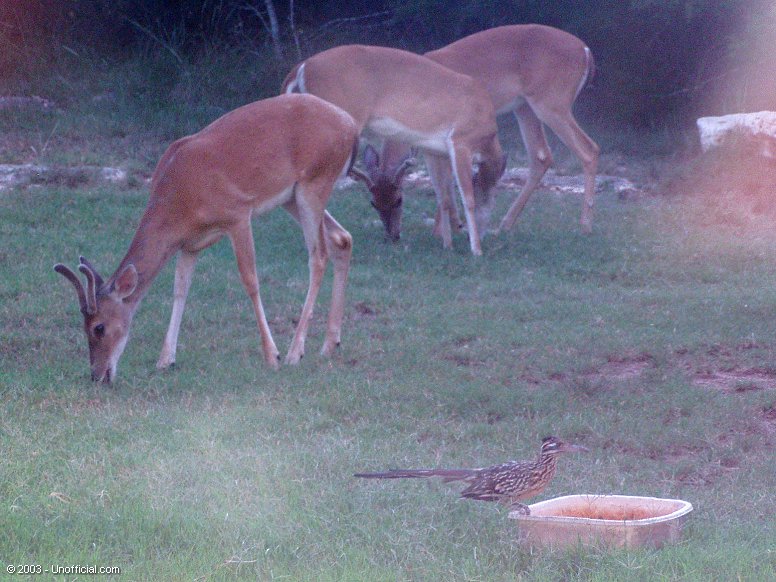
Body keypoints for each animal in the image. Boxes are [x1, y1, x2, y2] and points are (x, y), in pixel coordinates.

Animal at [54, 94, 359, 383]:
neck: (179, 200)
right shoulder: (190, 243)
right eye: (83, 326)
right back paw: (329, 344)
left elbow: (250, 280)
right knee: (342, 238)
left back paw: (296, 352)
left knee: (318, 256)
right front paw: (166, 360)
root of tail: (350, 125)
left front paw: (272, 355)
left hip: (315, 181)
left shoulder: (238, 213)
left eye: (99, 327)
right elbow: (180, 289)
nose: (97, 375)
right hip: (293, 197)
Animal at [282, 44, 506, 256]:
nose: (393, 236)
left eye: (398, 200)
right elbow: (467, 198)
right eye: (491, 198)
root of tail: (303, 67)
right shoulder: (461, 141)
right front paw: (476, 250)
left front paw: (447, 245)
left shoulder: (434, 151)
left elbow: (443, 196)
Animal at [358, 24, 600, 244]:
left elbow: (446, 181)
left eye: (399, 199)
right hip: (525, 106)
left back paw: (585, 225)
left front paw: (441, 231)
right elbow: (444, 183)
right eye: (373, 202)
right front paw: (454, 225)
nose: (392, 236)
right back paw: (504, 225)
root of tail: (586, 50)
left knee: (589, 149)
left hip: (552, 101)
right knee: (541, 156)